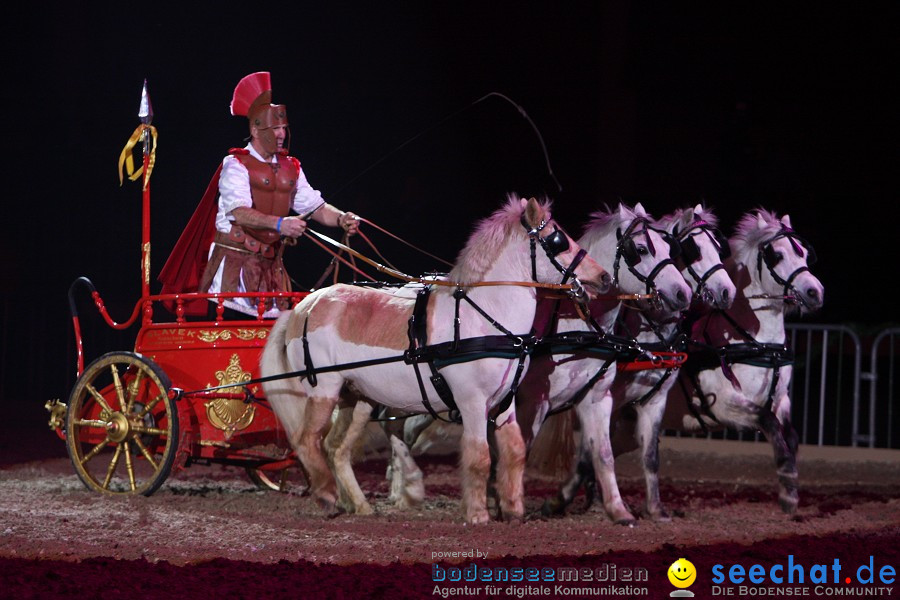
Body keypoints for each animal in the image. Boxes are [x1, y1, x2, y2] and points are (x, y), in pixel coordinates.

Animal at [260, 198, 612, 524]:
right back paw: (327, 496)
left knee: (337, 448)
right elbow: (479, 456)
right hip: (324, 389)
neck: (481, 316)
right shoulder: (471, 402)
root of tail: (303, 306)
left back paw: (359, 505)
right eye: (558, 238)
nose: (605, 277)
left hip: (357, 398)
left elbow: (513, 452)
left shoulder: (503, 402)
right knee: (308, 440)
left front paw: (513, 511)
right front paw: (478, 514)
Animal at [652, 209, 828, 512]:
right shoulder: (724, 405)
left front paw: (790, 490)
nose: (815, 292)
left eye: (805, 253)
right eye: (777, 255)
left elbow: (790, 437)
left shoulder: (781, 399)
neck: (757, 343)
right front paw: (787, 487)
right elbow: (769, 423)